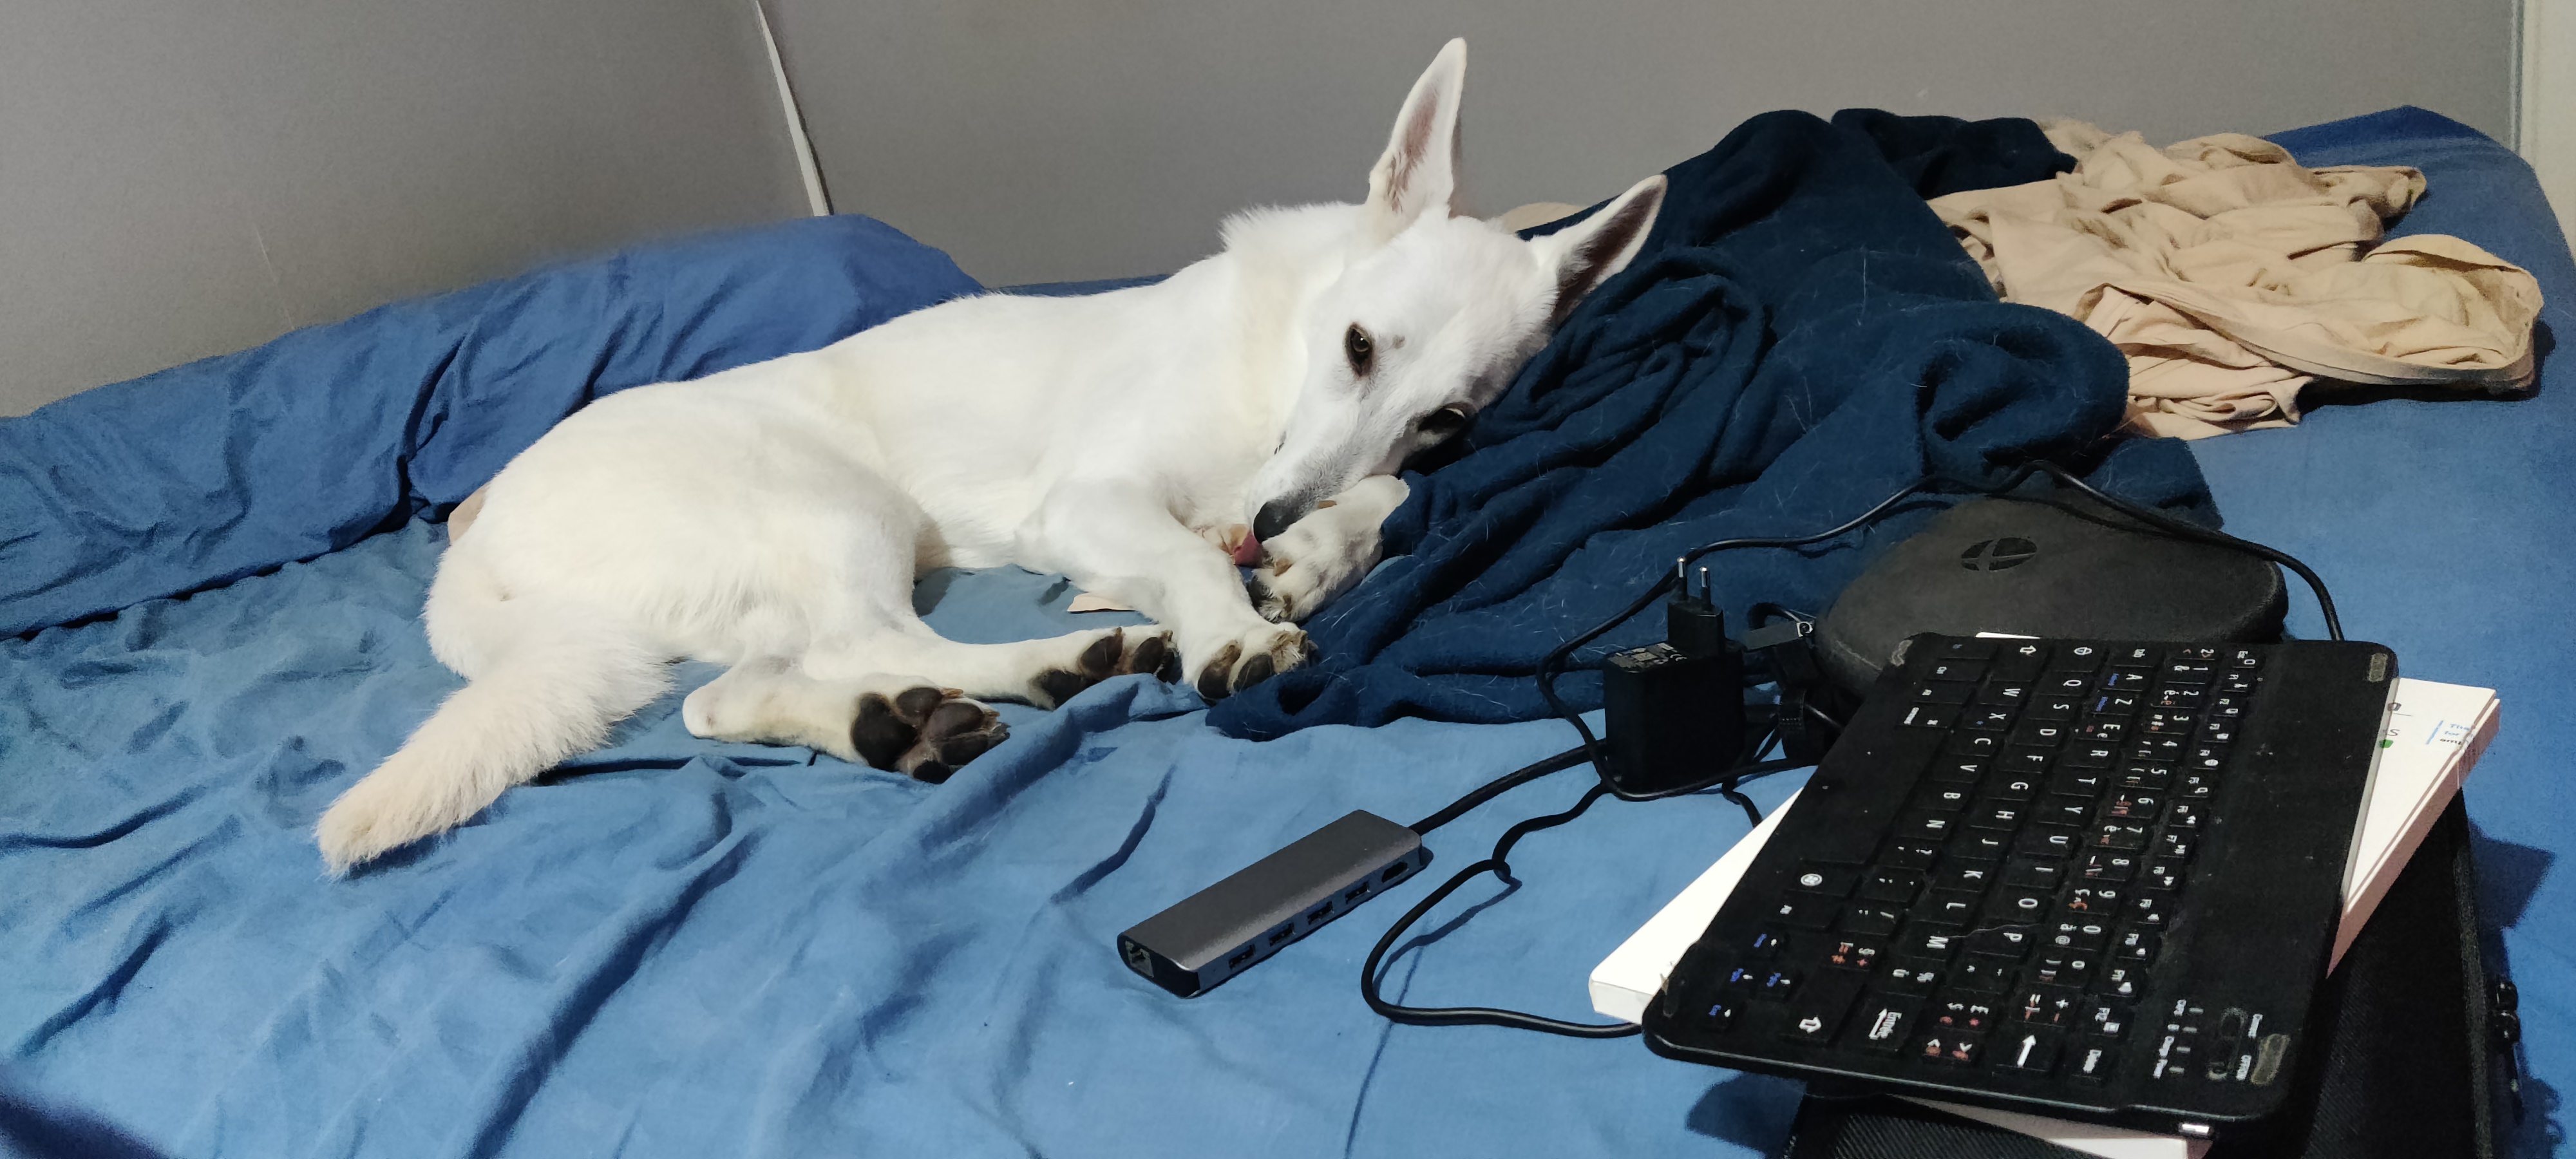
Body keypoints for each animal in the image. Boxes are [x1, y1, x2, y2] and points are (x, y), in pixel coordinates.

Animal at [314, 38, 1665, 872]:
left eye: (1450, 418)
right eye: (1357, 345)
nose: (1273, 528)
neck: (1271, 363)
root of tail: (474, 545)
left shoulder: (1332, 472)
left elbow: (1375, 493)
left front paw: (1315, 556)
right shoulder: (1099, 496)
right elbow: (1194, 558)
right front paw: (1235, 618)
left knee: (729, 694)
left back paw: (894, 726)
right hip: (832, 504)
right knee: (872, 643)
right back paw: (1052, 664)